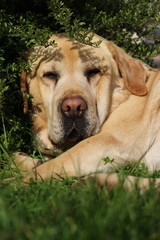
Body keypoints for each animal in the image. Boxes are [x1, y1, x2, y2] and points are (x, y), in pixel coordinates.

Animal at [13, 33, 160, 188]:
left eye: (94, 72)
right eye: (50, 75)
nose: (73, 107)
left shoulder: (110, 140)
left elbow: (53, 165)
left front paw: (12, 183)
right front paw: (23, 160)